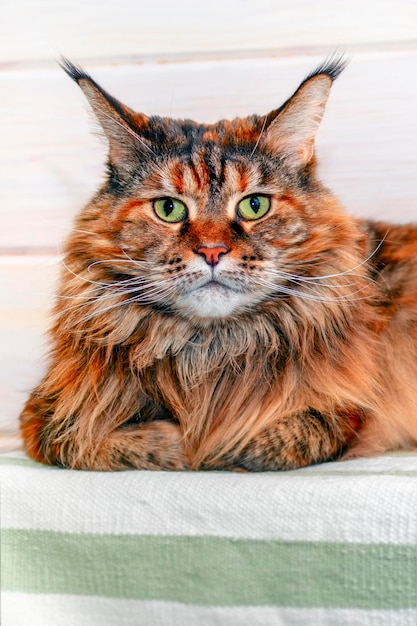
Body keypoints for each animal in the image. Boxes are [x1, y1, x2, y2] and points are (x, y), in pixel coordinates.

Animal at [18, 57, 416, 468]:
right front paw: (180, 444)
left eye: (254, 205)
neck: (211, 350)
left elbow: (258, 442)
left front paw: (210, 447)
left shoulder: (347, 413)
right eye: (169, 209)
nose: (212, 251)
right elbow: (97, 443)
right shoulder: (45, 417)